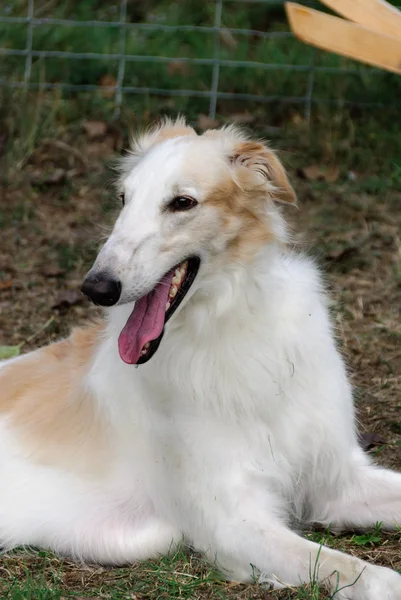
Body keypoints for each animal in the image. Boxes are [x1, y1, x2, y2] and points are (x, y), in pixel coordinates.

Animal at [0, 118, 400, 600]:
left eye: (182, 203)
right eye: (124, 198)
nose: (96, 287)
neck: (233, 326)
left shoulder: (335, 480)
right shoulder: (231, 521)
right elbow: (373, 575)